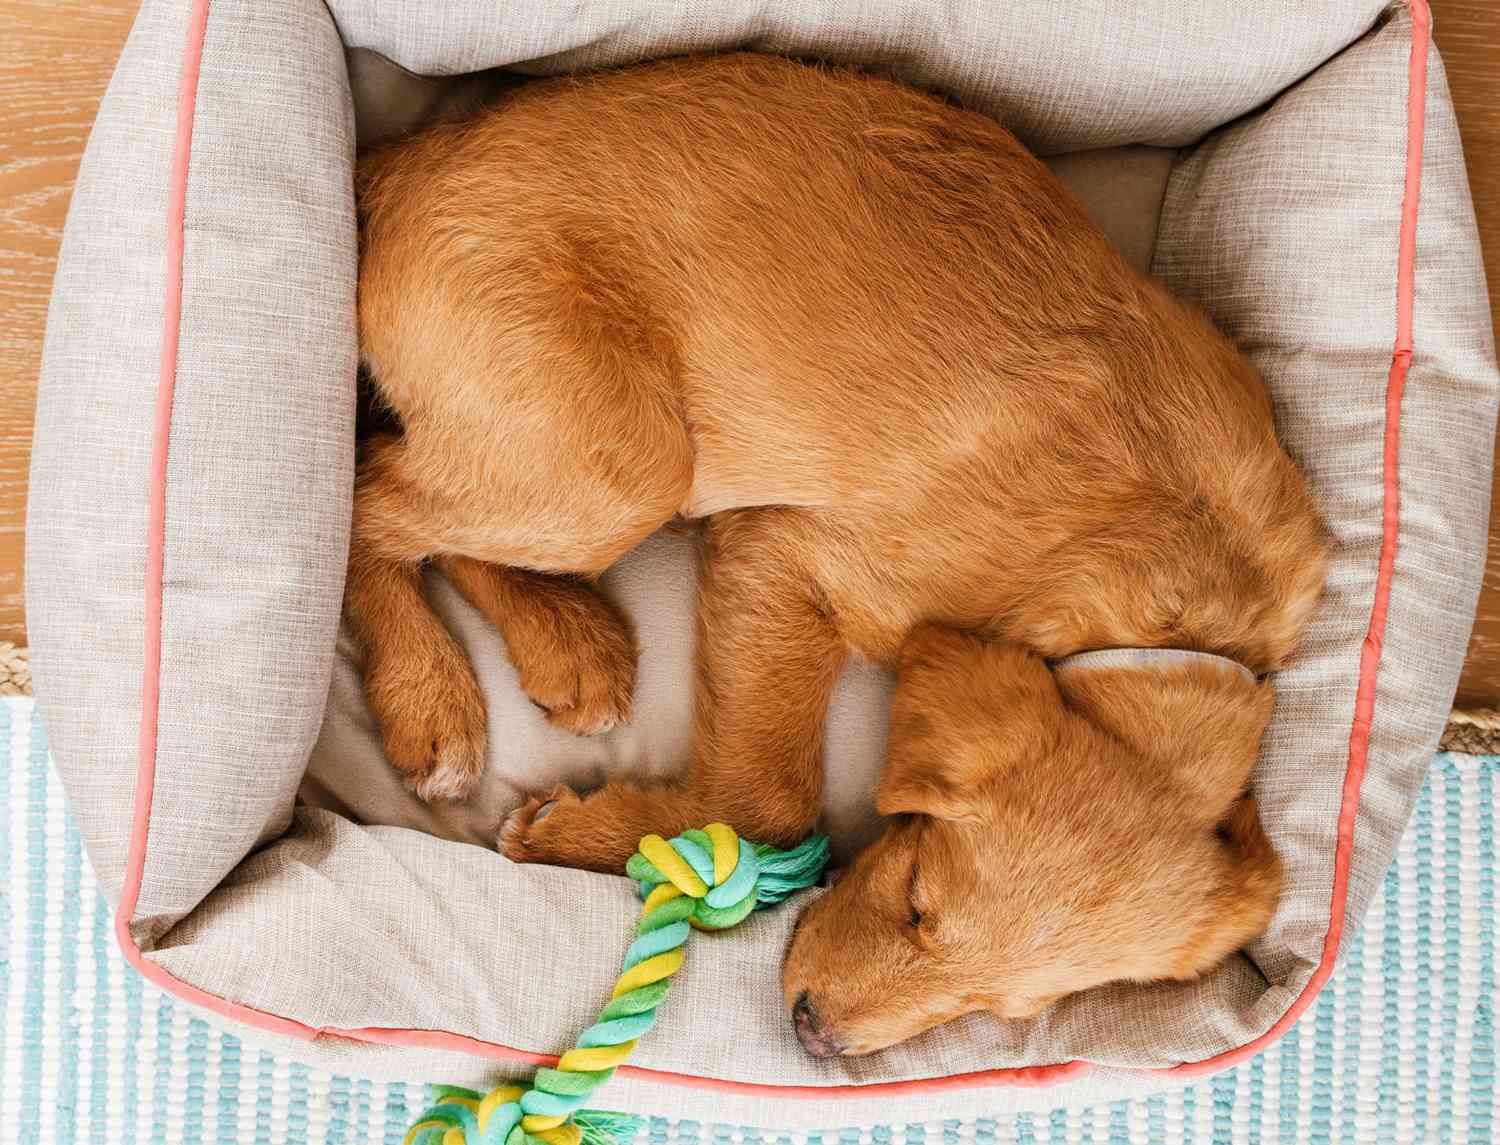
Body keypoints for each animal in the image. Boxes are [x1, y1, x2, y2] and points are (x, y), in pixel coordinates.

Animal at [348, 51, 1326, 1056]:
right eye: (918, 899)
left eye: (1006, 1010)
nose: (816, 1038)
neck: (1184, 599)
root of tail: (411, 158)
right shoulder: (791, 558)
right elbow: (771, 801)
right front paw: (578, 835)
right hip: (621, 464)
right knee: (369, 492)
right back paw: (431, 702)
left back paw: (571, 644)